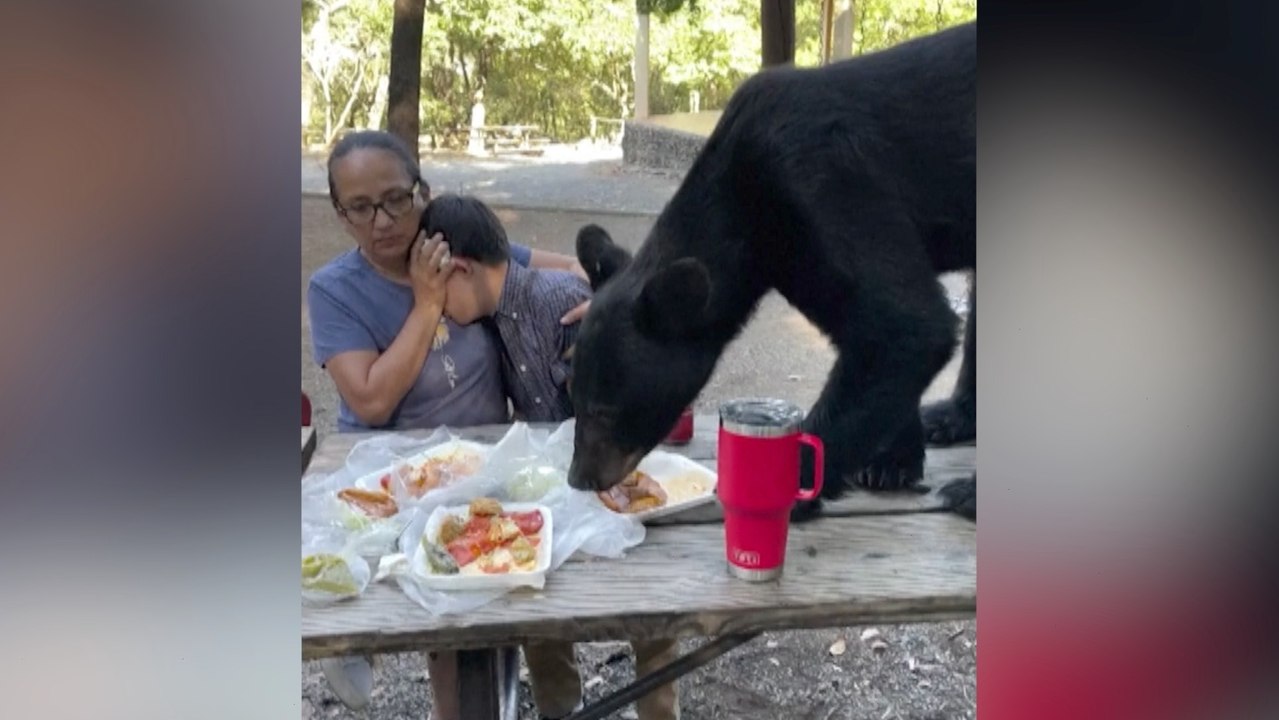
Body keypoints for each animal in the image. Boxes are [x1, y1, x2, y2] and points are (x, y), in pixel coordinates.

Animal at [566, 22, 977, 520]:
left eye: (605, 409)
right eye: (573, 393)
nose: (579, 478)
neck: (748, 207)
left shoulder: (824, 178)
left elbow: (905, 324)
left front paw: (792, 486)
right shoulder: (795, 256)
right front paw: (892, 460)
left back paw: (969, 491)